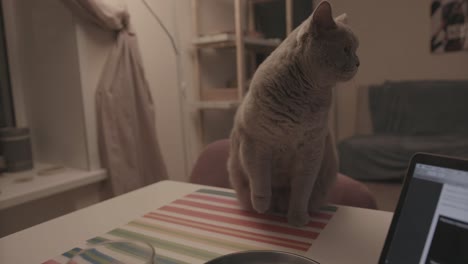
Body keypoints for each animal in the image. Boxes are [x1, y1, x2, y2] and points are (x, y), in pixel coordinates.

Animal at [227, 0, 358, 227]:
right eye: (346, 49)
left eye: (355, 49)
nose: (358, 62)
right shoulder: (255, 143)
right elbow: (260, 180)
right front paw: (261, 205)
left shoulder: (312, 151)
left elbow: (301, 192)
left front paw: (298, 219)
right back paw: (266, 210)